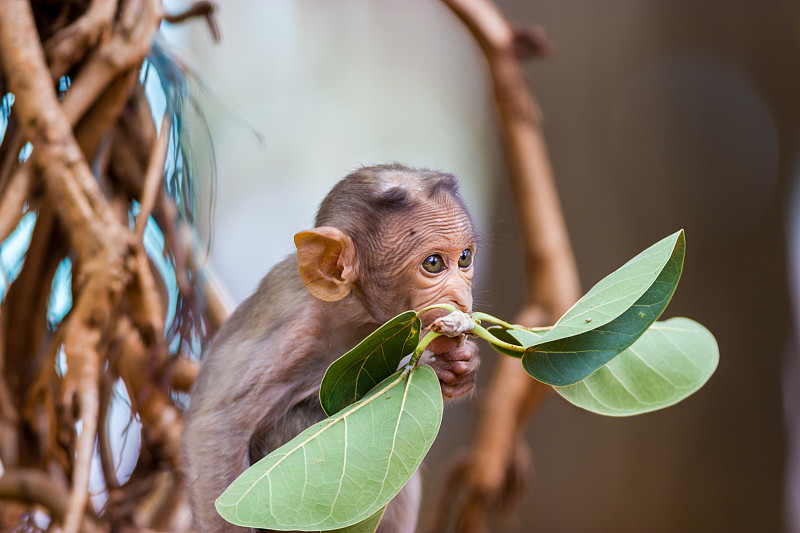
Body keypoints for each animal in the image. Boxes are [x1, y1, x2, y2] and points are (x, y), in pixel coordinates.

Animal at [184, 163, 478, 532]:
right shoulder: (295, 336)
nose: (462, 301)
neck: (351, 312)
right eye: (434, 263)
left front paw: (458, 368)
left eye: (465, 258)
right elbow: (215, 427)